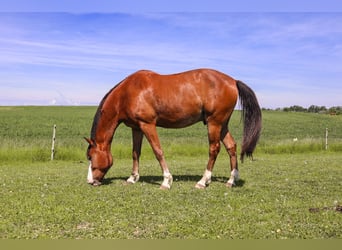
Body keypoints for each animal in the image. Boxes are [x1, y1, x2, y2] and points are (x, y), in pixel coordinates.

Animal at [85, 68, 262, 189]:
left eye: (90, 157)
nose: (90, 181)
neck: (128, 93)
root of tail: (232, 81)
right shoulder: (136, 128)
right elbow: (135, 153)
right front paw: (132, 178)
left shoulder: (147, 124)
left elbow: (158, 151)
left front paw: (166, 180)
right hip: (222, 125)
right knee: (231, 147)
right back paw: (231, 180)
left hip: (214, 123)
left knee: (214, 149)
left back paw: (203, 181)